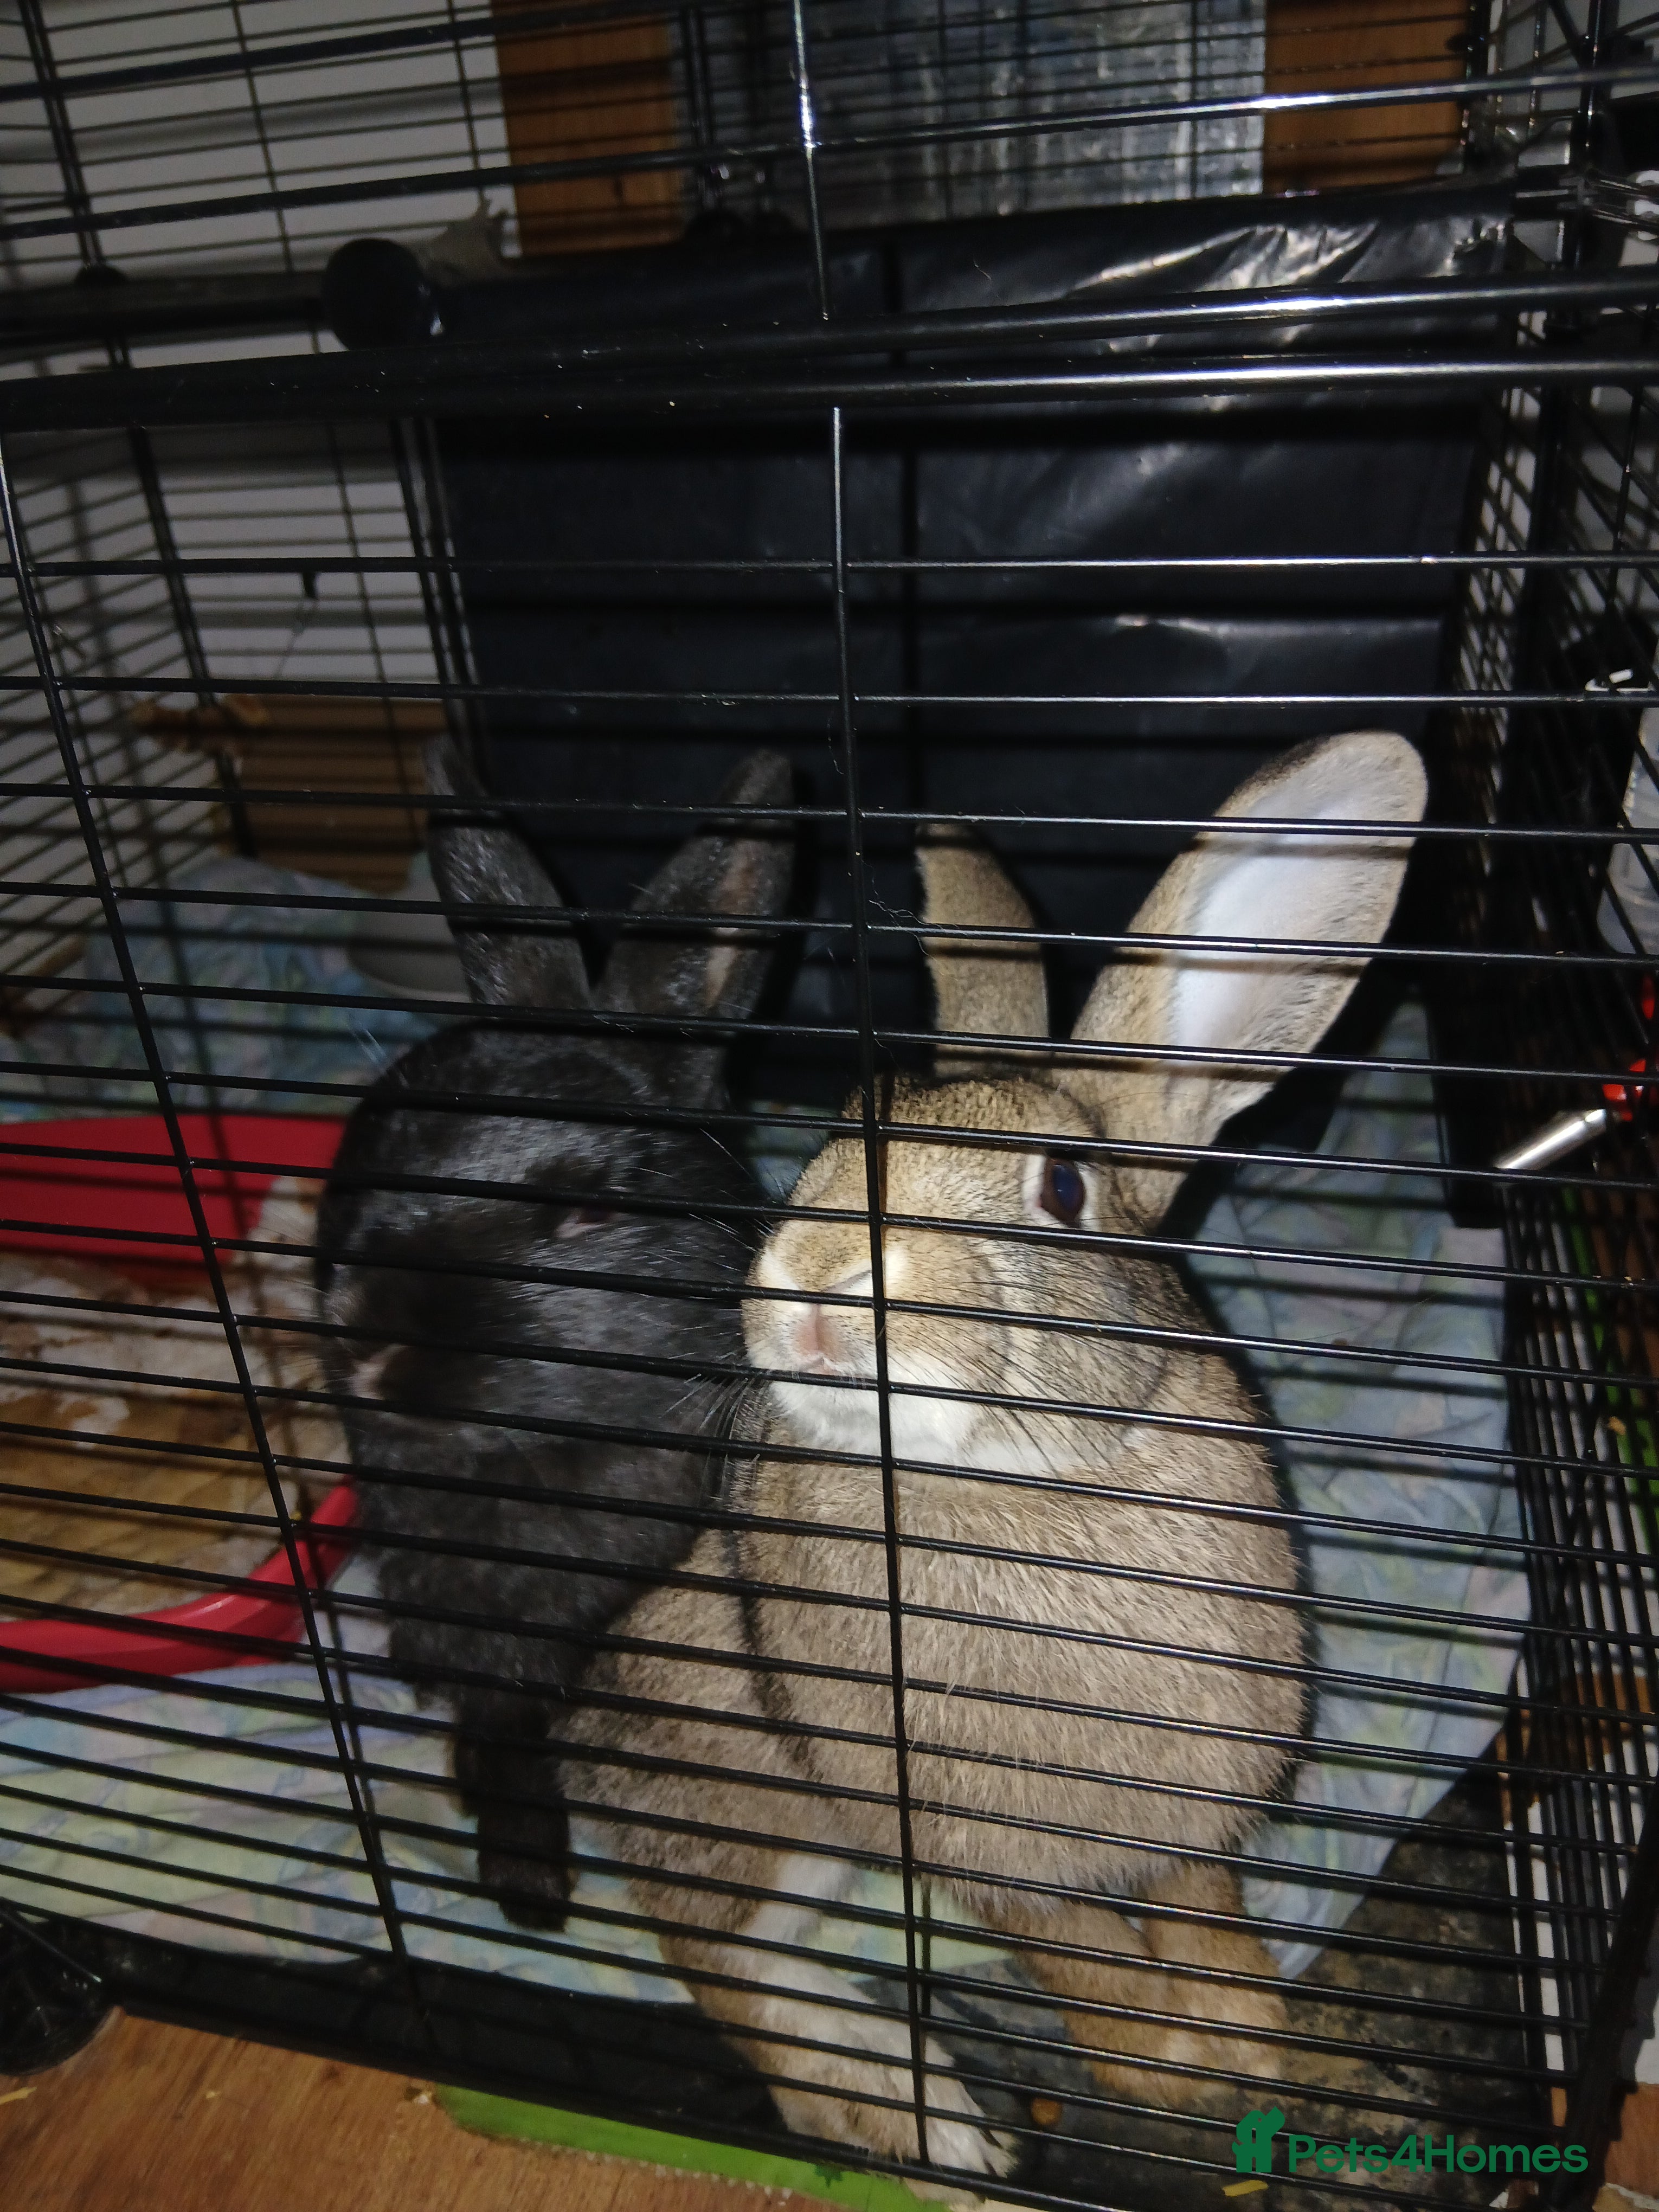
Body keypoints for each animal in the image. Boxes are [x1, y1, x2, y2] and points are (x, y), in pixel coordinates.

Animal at [314, 735, 794, 1928]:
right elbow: (494, 1723)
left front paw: (531, 1888)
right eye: (384, 1142)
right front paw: (526, 1881)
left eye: (588, 1212)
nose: (374, 1349)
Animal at [557, 730, 1428, 2188]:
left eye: (1063, 1187)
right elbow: (1090, 1974)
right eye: (841, 1130)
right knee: (718, 1958)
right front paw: (1170, 2069)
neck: (1001, 1484)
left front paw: (1253, 2036)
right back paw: (908, 2111)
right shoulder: (997, 1856)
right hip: (750, 1776)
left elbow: (1204, 1920)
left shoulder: (1187, 1814)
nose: (812, 1284)